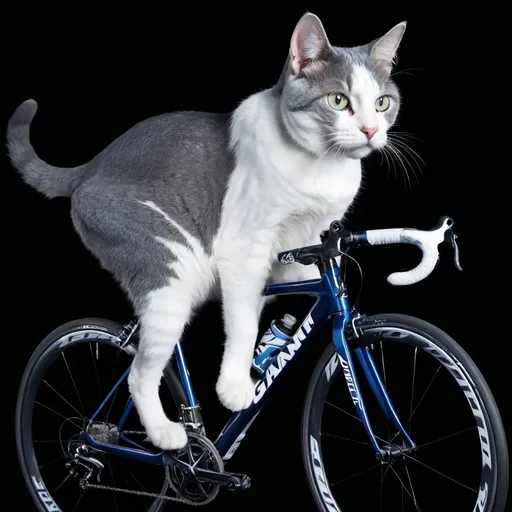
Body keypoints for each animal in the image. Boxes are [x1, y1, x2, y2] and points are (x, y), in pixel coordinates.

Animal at [7, 14, 408, 450]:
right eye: (338, 101)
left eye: (382, 103)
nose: (370, 130)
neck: (322, 172)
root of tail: (90, 166)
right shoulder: (243, 249)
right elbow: (243, 322)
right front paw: (234, 387)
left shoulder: (304, 239)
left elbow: (290, 278)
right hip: (169, 274)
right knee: (138, 374)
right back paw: (166, 438)